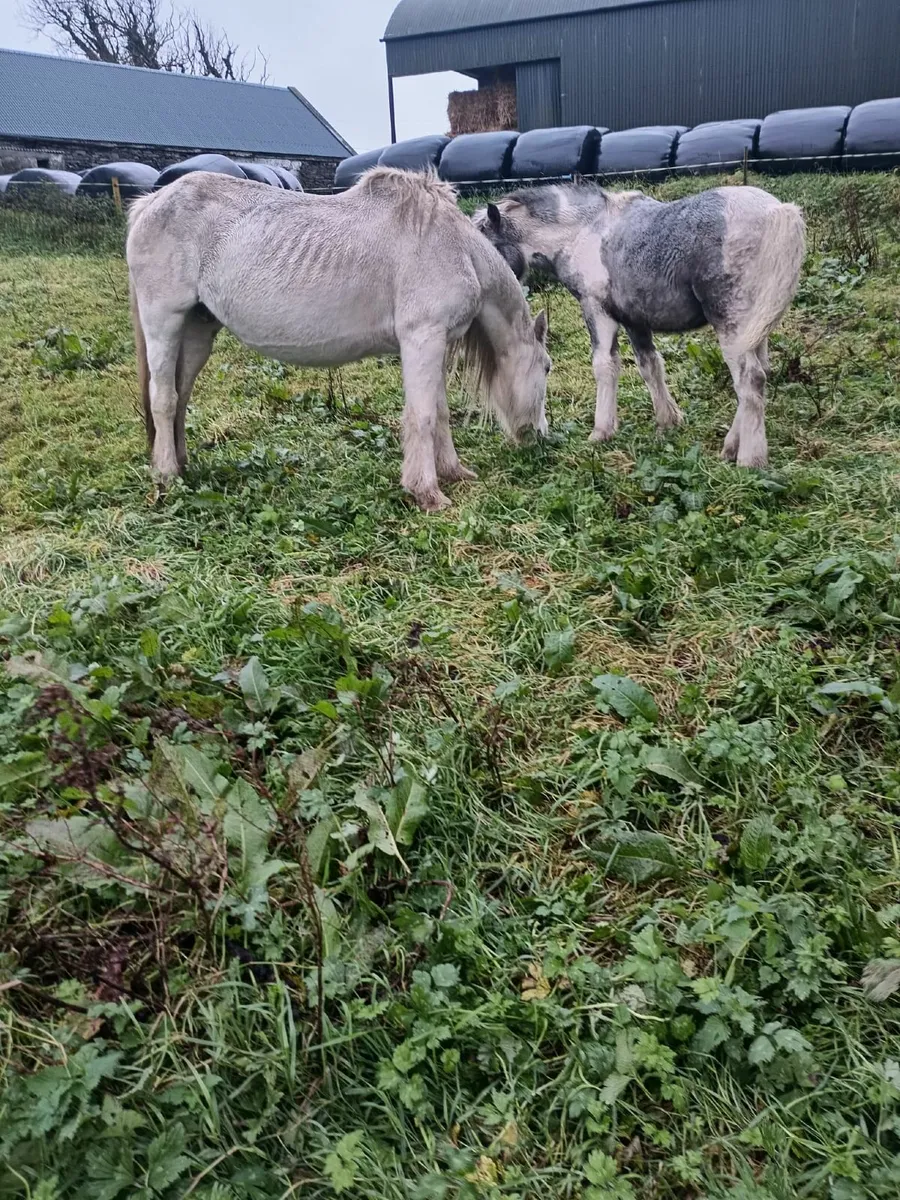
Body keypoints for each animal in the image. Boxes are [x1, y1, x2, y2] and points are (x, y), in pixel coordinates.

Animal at [126, 168, 550, 512]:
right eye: (546, 367)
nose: (542, 436)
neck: (454, 247)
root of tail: (150, 203)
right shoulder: (422, 338)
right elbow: (423, 415)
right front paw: (426, 492)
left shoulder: (435, 343)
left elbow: (439, 413)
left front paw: (453, 470)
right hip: (164, 322)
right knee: (164, 399)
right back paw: (166, 476)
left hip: (197, 330)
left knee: (181, 397)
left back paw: (182, 466)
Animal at [474, 184, 805, 468]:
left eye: (488, 246)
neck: (583, 232)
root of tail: (778, 212)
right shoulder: (635, 320)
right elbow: (650, 366)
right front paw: (667, 421)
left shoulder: (598, 310)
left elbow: (605, 365)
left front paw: (601, 431)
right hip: (754, 329)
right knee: (757, 375)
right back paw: (731, 447)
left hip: (731, 323)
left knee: (750, 380)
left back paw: (750, 459)